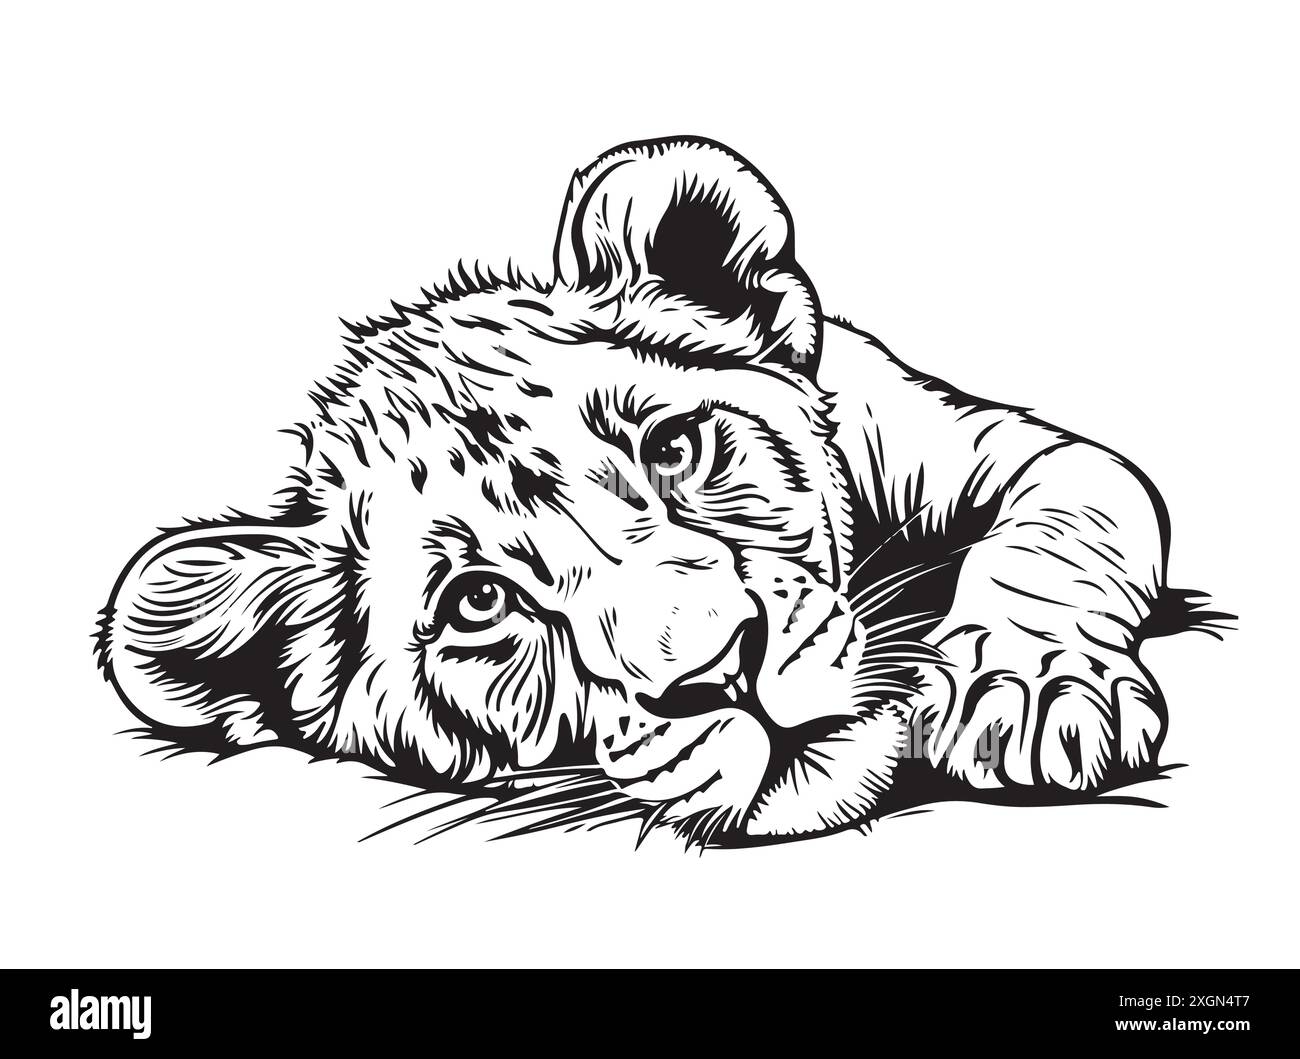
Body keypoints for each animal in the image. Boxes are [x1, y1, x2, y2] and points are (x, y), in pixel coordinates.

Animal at [96, 137, 1227, 847]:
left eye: (674, 447)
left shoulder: (999, 446)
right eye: (478, 603)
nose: (722, 670)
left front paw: (1026, 687)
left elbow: (1059, 531)